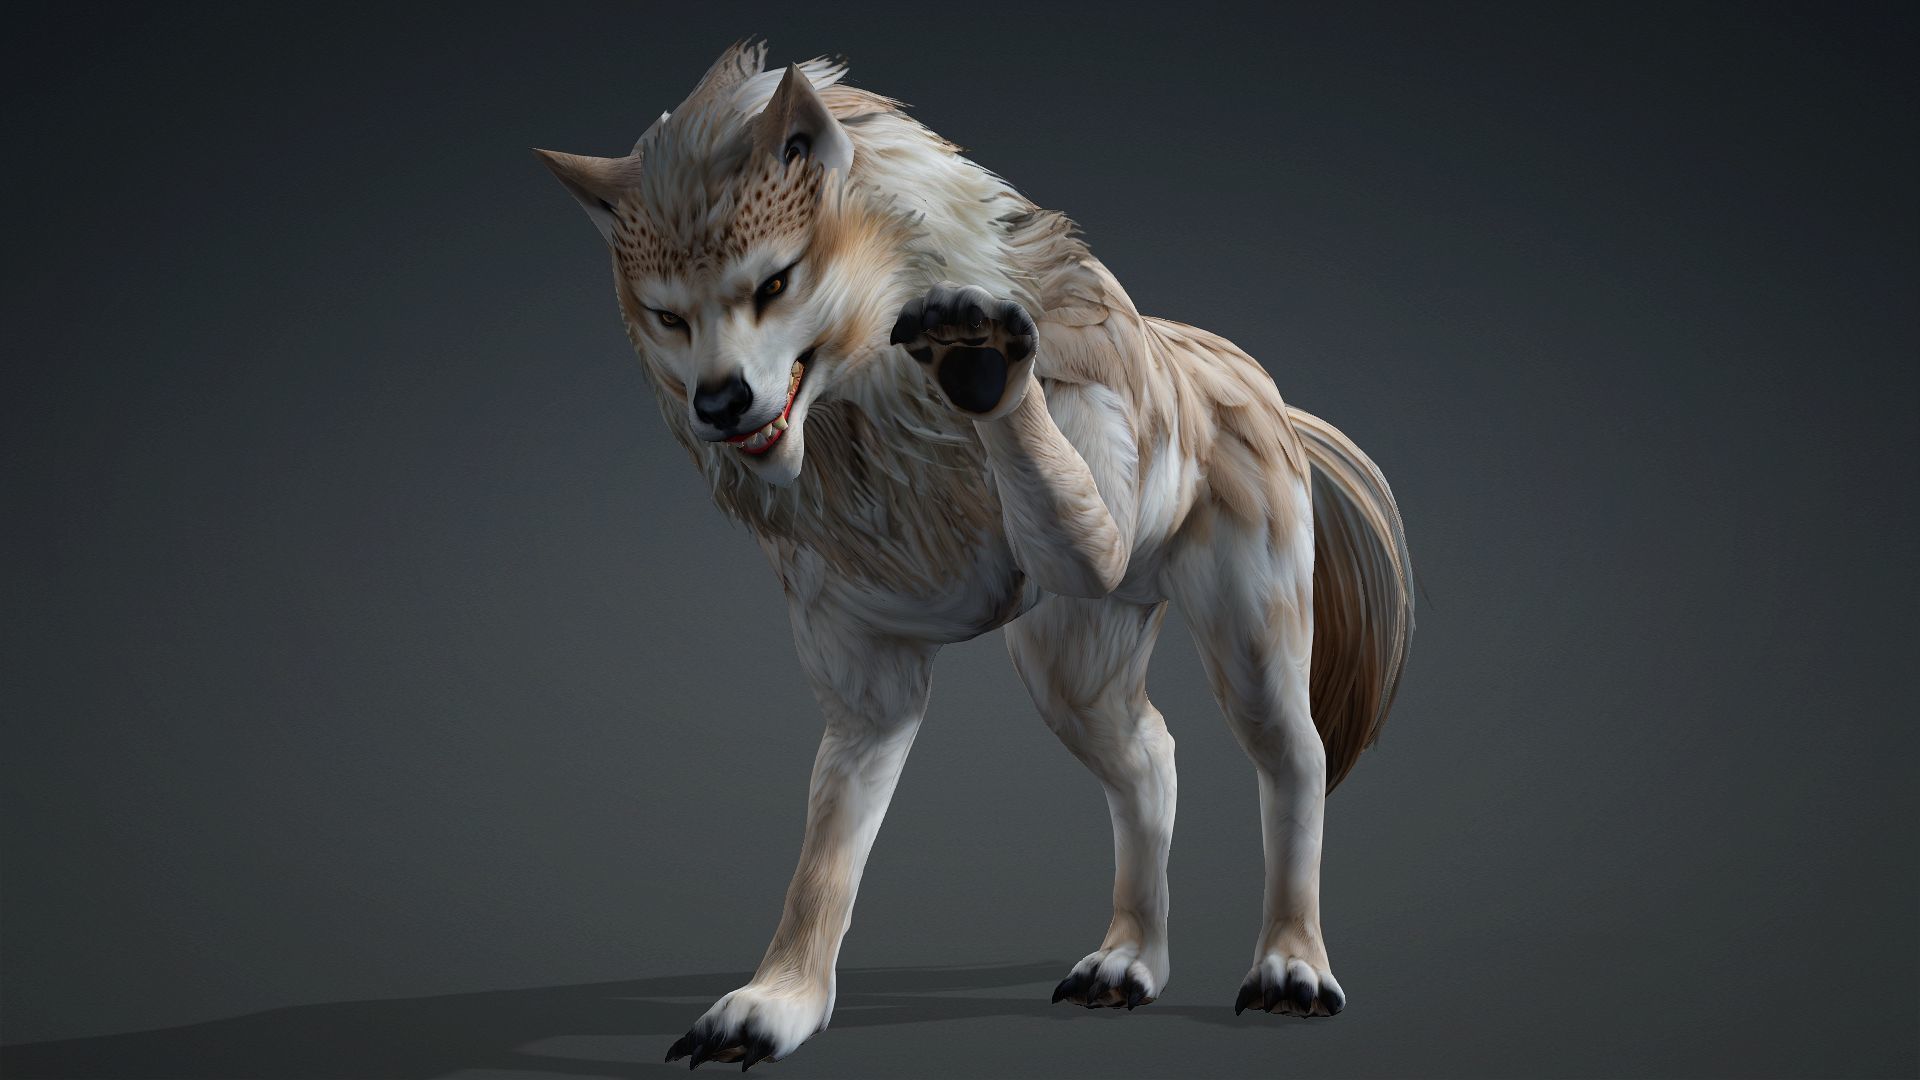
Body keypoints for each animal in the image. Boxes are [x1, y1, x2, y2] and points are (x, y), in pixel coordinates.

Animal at [538, 41, 1413, 1069]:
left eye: (774, 282)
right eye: (668, 317)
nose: (719, 403)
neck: (871, 438)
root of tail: (1253, 378)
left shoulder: (1090, 535)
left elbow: (1032, 432)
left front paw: (982, 357)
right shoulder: (868, 698)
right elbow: (822, 869)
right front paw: (774, 1004)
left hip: (1247, 654)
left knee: (1297, 761)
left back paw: (1290, 966)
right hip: (1069, 678)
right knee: (1153, 758)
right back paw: (1127, 961)